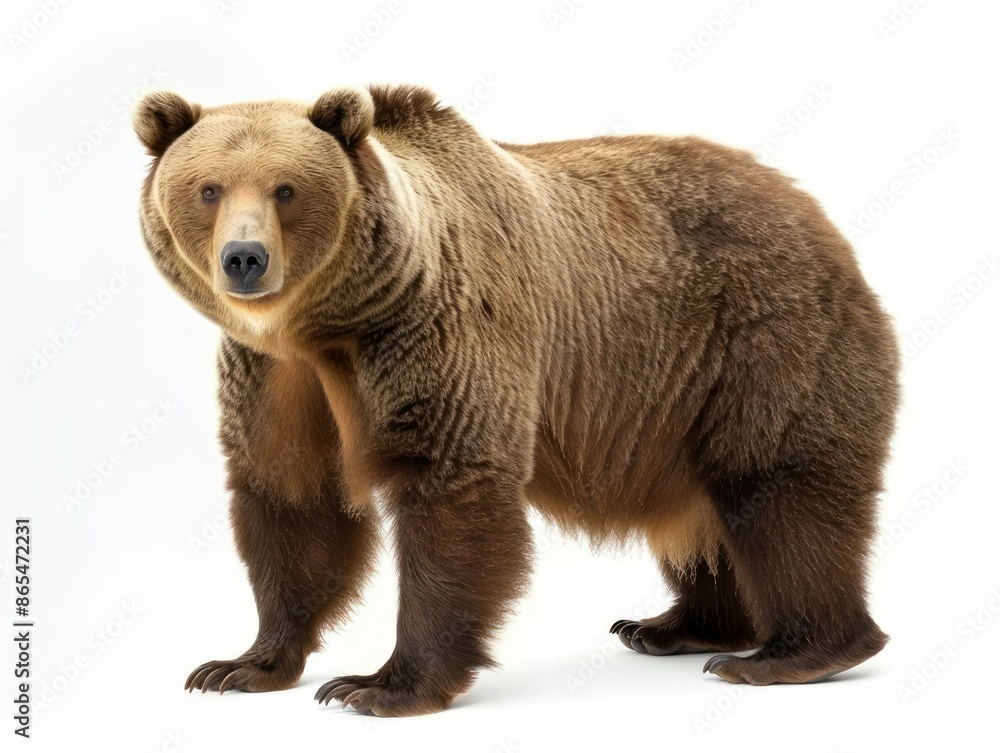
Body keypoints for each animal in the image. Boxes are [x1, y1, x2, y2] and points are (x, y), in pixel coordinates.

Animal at [134, 84, 899, 717]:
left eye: (287, 189)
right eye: (208, 188)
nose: (244, 259)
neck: (327, 324)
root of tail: (812, 208)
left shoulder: (434, 332)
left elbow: (450, 486)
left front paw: (378, 686)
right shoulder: (276, 375)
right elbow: (291, 497)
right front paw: (239, 666)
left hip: (760, 338)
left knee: (778, 488)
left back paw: (790, 652)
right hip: (676, 400)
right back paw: (670, 626)